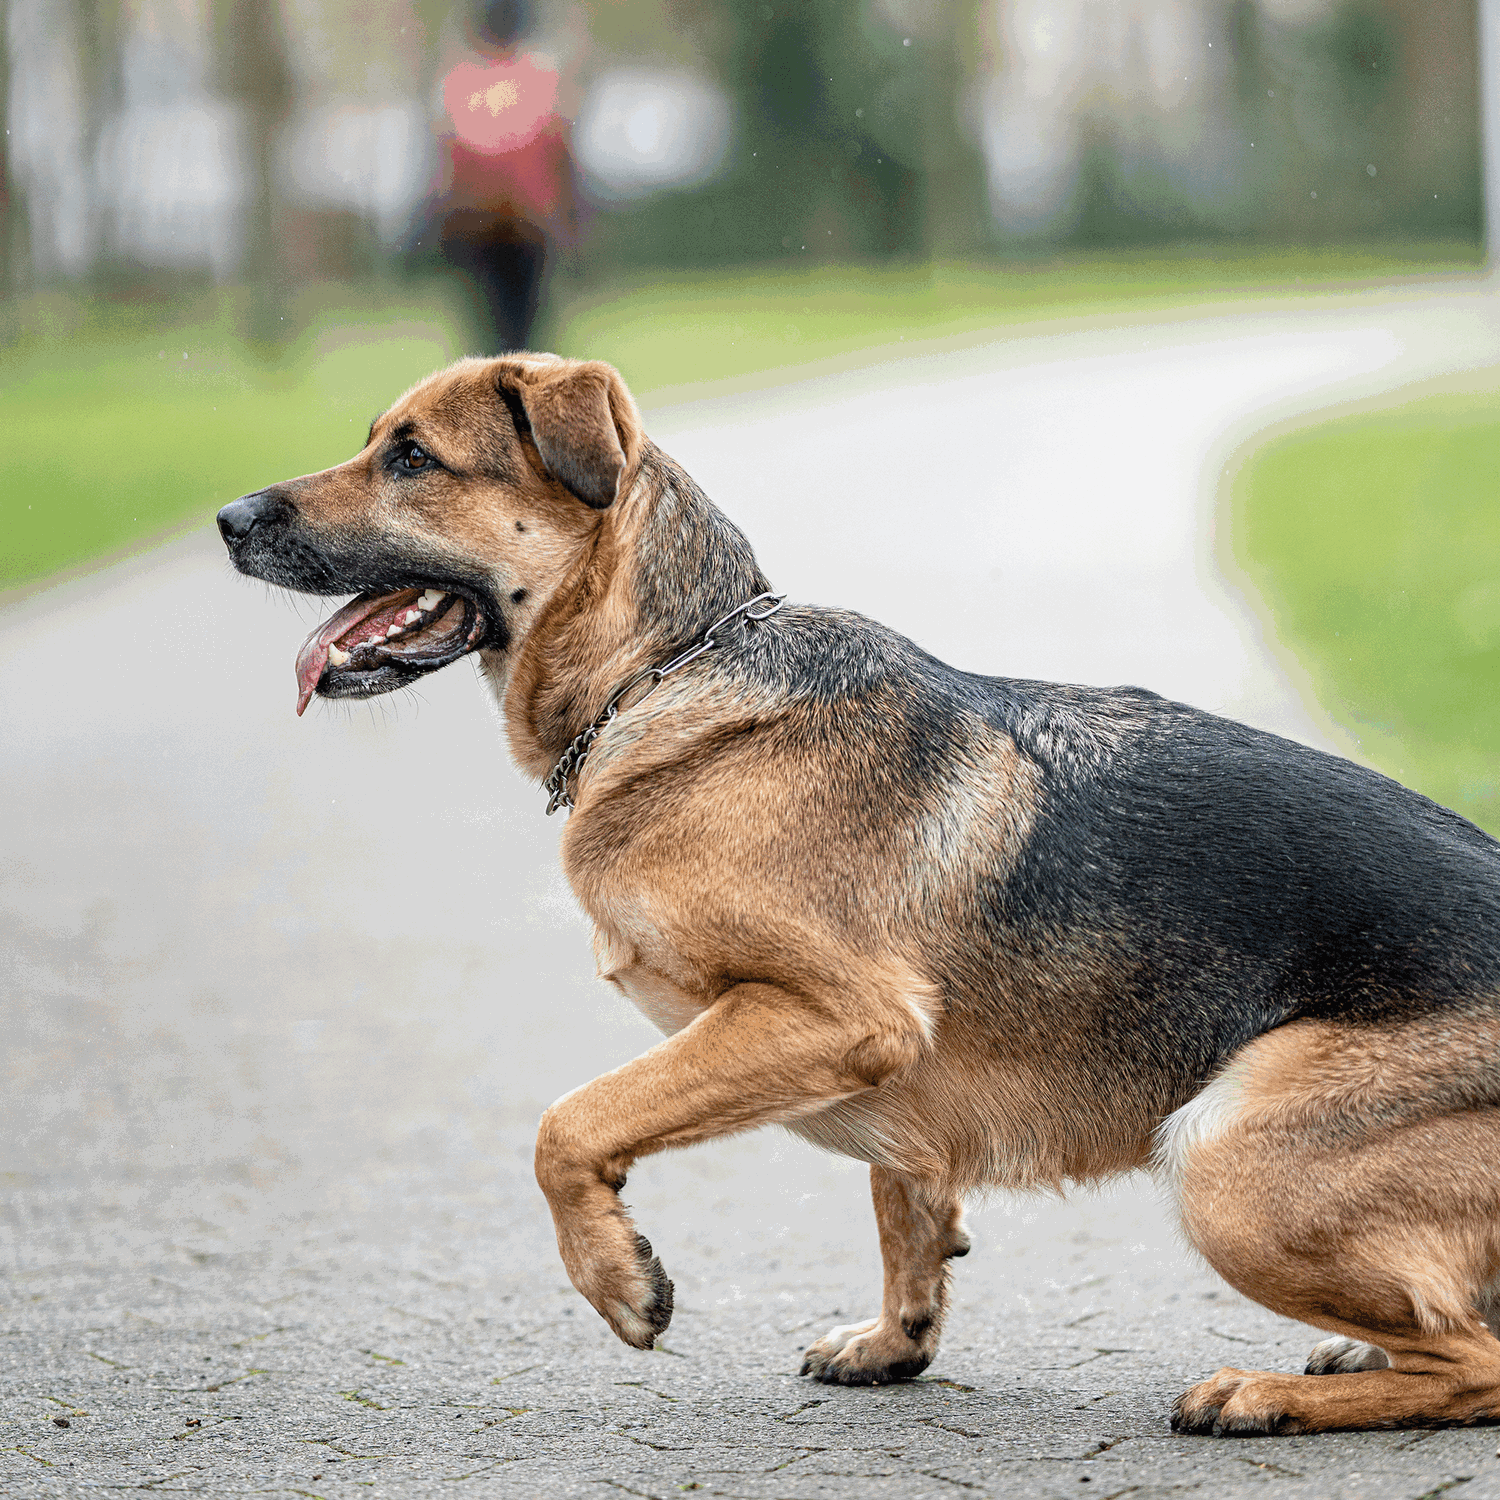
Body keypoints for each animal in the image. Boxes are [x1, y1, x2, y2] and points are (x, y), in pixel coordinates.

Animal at [217, 354, 1500, 1440]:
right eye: (378, 443)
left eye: (413, 458)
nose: (228, 521)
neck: (669, 667)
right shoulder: (876, 1066)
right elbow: (903, 1199)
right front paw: (898, 1337)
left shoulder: (835, 1014)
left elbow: (569, 1122)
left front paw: (619, 1279)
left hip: (1224, 1155)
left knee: (1470, 1366)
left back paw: (1267, 1391)